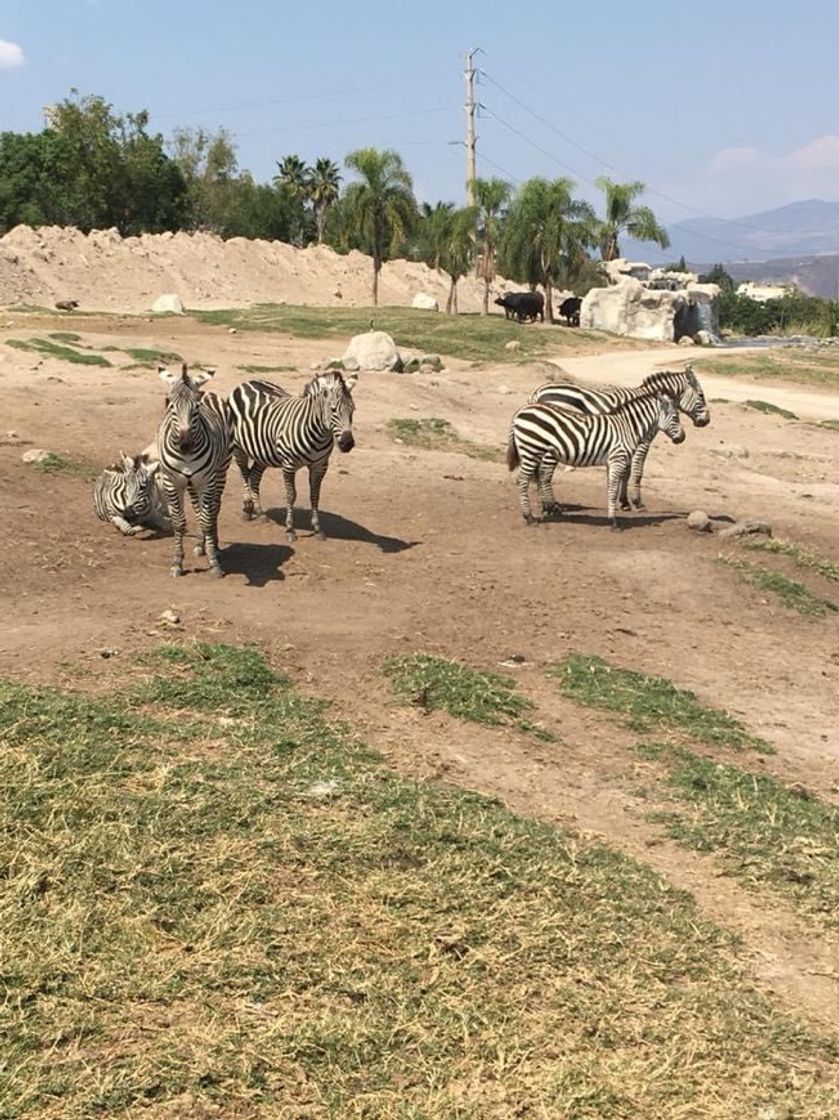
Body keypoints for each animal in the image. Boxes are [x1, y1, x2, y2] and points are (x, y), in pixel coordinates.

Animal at [154, 365, 230, 577]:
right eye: (171, 406)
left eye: (196, 408)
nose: (185, 445)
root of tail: (208, 392)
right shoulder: (172, 482)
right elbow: (179, 523)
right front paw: (177, 563)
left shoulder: (207, 482)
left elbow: (206, 519)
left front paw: (214, 563)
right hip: (191, 483)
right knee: (198, 508)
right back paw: (200, 544)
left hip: (221, 470)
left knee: (213, 508)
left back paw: (214, 545)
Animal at [506, 389, 685, 528]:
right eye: (676, 417)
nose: (682, 438)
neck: (627, 428)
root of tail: (520, 412)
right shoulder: (618, 459)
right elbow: (613, 489)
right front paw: (613, 522)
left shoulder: (611, 462)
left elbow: (611, 488)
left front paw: (612, 515)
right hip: (531, 449)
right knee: (523, 481)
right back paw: (529, 517)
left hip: (535, 451)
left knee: (534, 478)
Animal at [530, 365, 707, 510]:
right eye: (701, 395)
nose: (707, 421)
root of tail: (538, 391)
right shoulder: (643, 441)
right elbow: (637, 471)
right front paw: (636, 502)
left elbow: (625, 471)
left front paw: (623, 502)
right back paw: (549, 504)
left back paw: (544, 503)